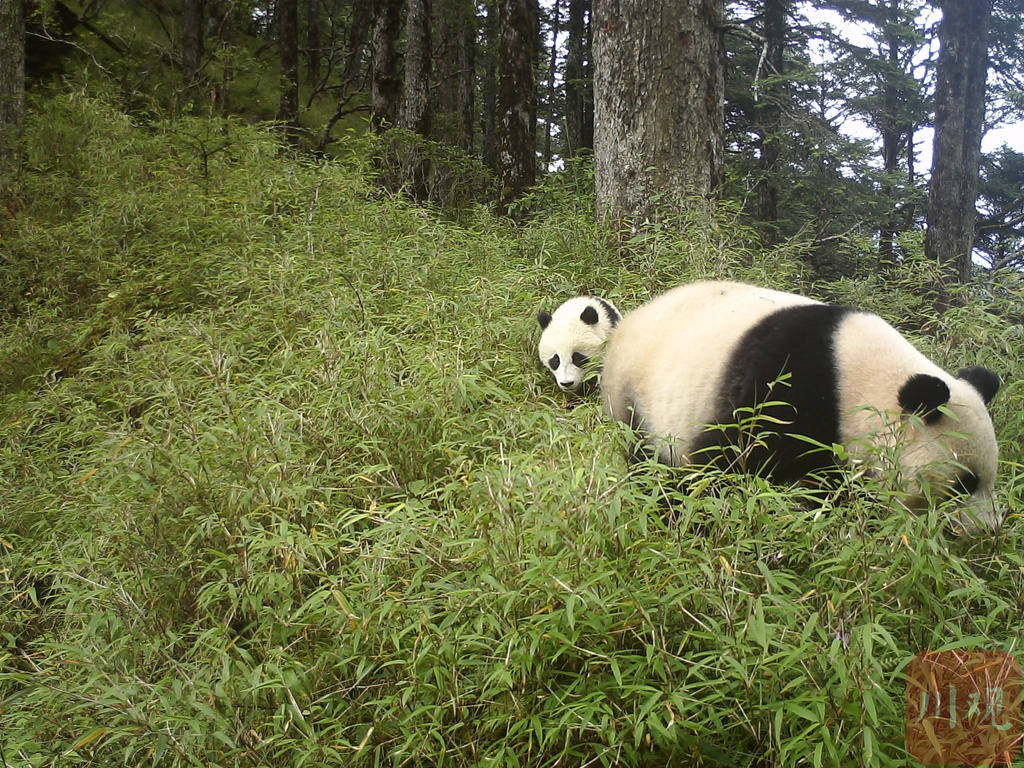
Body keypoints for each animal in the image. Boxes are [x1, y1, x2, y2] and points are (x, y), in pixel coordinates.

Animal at [598, 280, 1003, 536]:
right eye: (964, 484)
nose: (988, 530)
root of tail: (631, 319)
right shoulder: (784, 386)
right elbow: (724, 461)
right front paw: (693, 519)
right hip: (637, 394)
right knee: (644, 455)